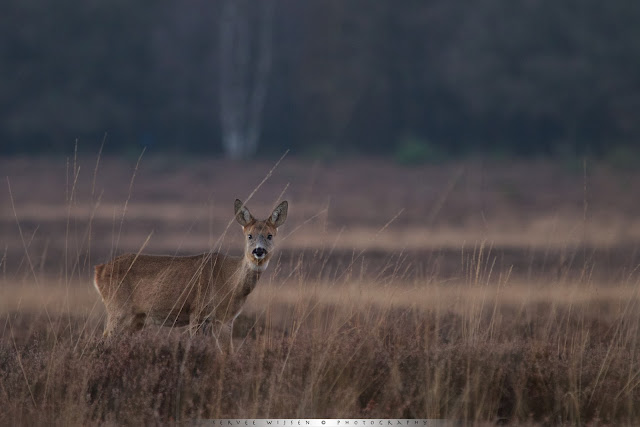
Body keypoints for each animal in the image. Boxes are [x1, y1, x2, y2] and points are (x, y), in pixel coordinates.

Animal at [92, 200, 288, 352]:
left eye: (270, 235)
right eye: (249, 235)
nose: (259, 251)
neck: (230, 283)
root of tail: (98, 270)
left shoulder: (225, 320)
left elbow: (227, 354)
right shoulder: (197, 312)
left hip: (136, 319)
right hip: (118, 308)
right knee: (102, 341)